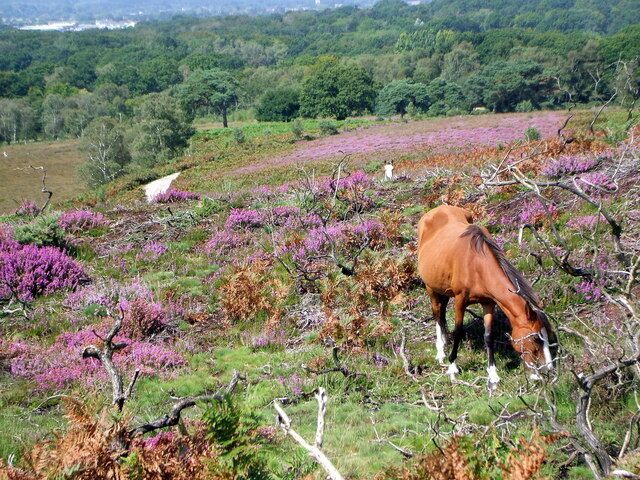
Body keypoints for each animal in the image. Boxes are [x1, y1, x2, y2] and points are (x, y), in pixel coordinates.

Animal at [417, 205, 553, 390]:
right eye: (536, 339)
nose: (548, 369)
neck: (475, 263)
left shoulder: (488, 302)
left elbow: (488, 336)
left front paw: (493, 375)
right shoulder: (460, 300)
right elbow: (458, 331)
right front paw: (453, 367)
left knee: (442, 314)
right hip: (431, 288)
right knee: (437, 314)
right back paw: (441, 352)